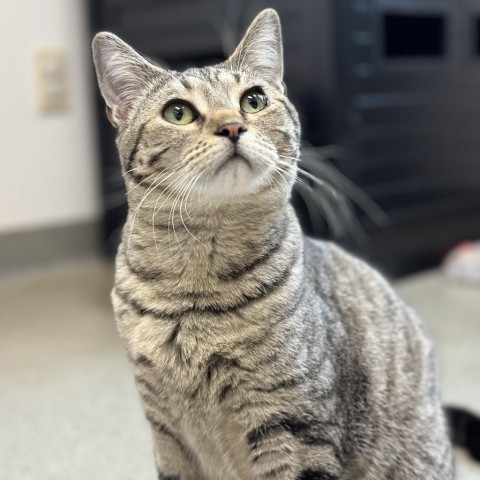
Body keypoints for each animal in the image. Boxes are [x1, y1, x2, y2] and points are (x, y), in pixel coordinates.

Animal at [94, 7, 458, 480]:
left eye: (253, 100)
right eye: (178, 112)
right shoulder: (167, 433)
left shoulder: (293, 426)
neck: (193, 293)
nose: (232, 126)